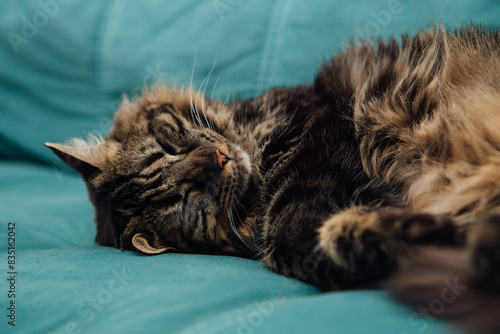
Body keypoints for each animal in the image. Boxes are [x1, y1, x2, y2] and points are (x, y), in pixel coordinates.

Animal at [47, 24, 500, 332]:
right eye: (186, 199)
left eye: (169, 145)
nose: (218, 158)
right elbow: (291, 239)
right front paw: (391, 241)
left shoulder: (315, 128)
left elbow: (290, 230)